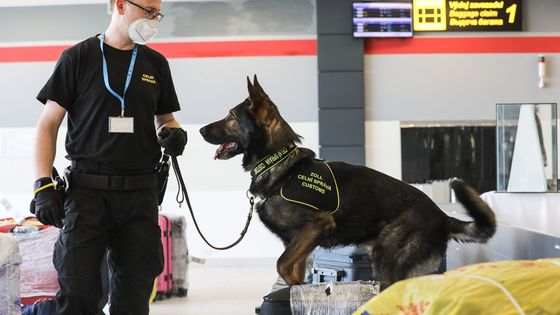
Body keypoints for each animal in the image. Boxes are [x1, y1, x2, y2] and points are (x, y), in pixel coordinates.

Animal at [199, 76, 496, 288]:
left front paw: (294, 287)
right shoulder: (297, 243)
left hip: (390, 263)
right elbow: (293, 269)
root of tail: (441, 215)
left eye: (231, 116)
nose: (199, 130)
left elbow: (281, 265)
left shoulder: (317, 225)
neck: (278, 162)